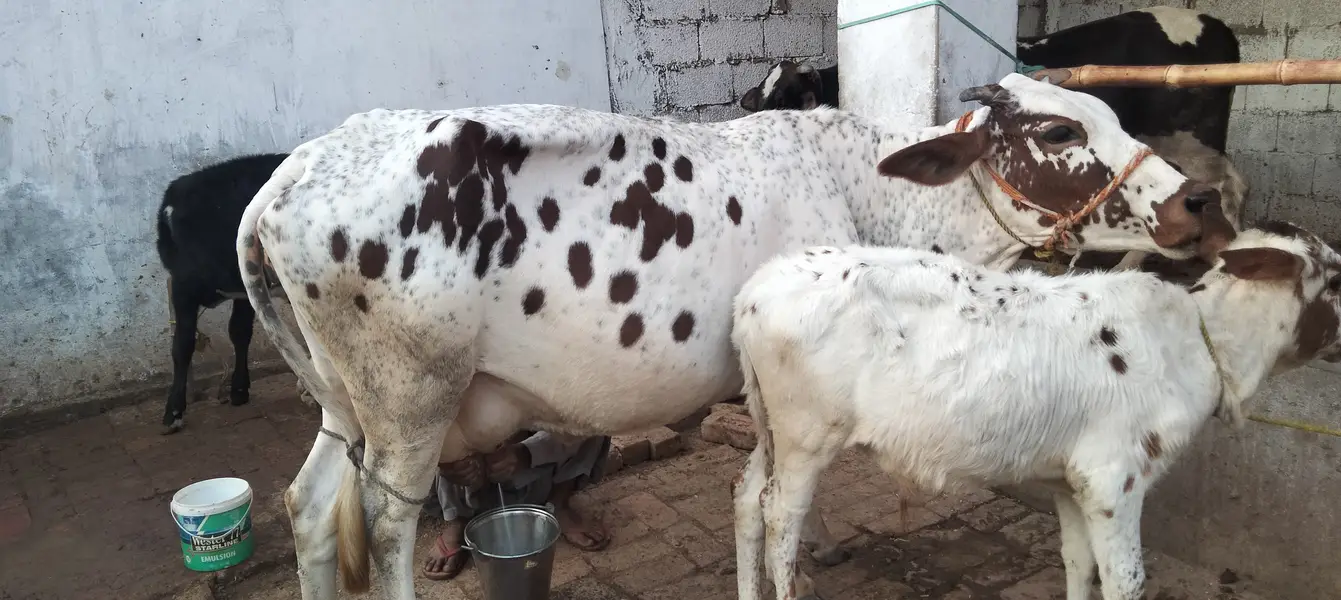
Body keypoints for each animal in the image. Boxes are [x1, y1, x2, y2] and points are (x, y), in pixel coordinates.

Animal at [237, 72, 1228, 598]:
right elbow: (780, 500)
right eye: (1059, 129)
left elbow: (755, 497)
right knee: (383, 524)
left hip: (348, 406)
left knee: (308, 505)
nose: (1198, 201)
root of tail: (291, 174)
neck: (873, 189)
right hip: (412, 402)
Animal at [729, 217, 1341, 600]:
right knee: (779, 515)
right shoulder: (1113, 479)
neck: (1199, 339)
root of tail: (754, 293)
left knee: (746, 499)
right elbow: (1125, 580)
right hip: (809, 432)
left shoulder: (1071, 482)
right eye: (1335, 277)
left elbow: (1078, 564)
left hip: (773, 427)